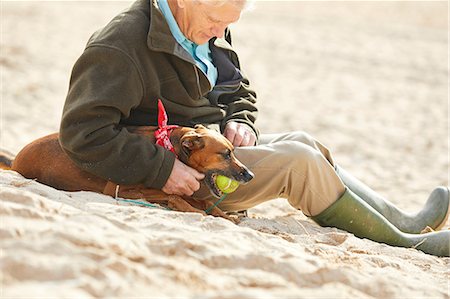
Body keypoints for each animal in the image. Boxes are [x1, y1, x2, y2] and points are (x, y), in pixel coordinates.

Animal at [0, 125, 253, 223]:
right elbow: (175, 196)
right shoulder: (121, 190)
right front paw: (193, 211)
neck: (171, 147)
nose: (249, 175)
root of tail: (16, 160)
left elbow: (203, 201)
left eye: (233, 151)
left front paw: (224, 215)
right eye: (226, 154)